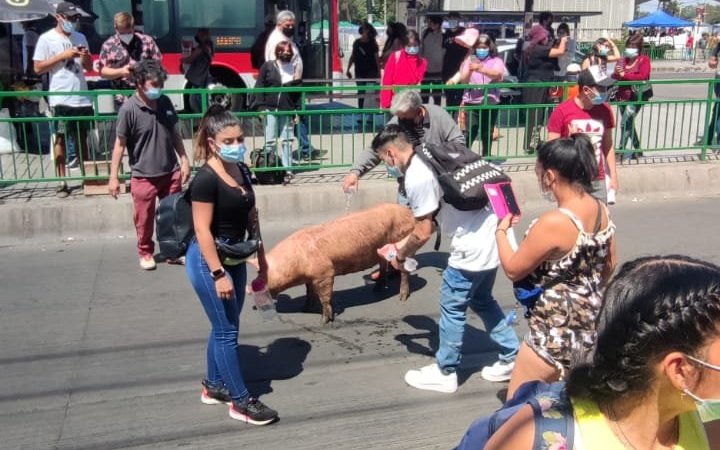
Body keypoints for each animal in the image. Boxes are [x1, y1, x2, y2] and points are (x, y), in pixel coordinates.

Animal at [262, 204, 416, 324]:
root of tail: (409, 213)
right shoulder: (311, 277)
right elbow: (309, 291)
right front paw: (304, 308)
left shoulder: (325, 273)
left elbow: (324, 297)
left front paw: (323, 321)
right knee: (383, 266)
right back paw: (376, 289)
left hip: (402, 245)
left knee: (404, 272)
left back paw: (402, 298)